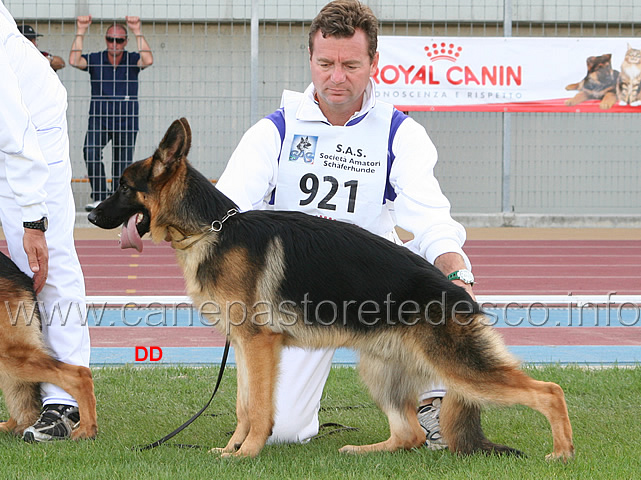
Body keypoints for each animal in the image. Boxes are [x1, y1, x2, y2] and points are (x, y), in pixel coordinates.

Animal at [87, 118, 572, 460]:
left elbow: (258, 409)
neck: (212, 229)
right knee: (410, 433)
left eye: (124, 187)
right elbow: (244, 405)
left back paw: (562, 453)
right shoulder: (244, 346)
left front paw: (246, 454)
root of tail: (459, 295)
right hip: (379, 370)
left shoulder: (259, 345)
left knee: (549, 391)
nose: (90, 215)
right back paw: (363, 450)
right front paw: (231, 448)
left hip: (458, 368)